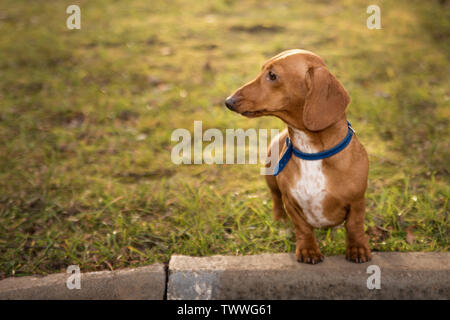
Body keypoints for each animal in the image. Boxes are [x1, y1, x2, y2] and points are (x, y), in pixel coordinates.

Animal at [227, 49, 370, 264]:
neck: (312, 153)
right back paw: (280, 221)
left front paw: (357, 249)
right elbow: (302, 228)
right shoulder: (291, 203)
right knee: (275, 199)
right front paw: (308, 250)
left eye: (272, 75)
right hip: (270, 179)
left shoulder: (357, 201)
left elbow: (354, 225)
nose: (228, 101)